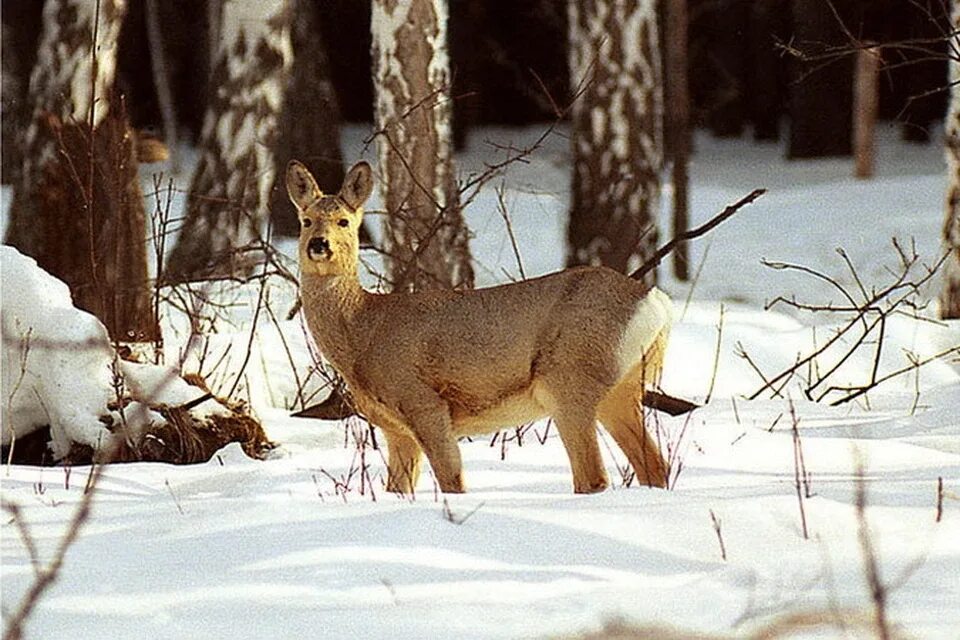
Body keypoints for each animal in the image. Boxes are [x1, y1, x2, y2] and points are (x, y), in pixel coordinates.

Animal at [288, 160, 672, 496]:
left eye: (343, 221)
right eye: (306, 220)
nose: (319, 244)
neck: (364, 330)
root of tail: (655, 302)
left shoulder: (423, 401)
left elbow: (452, 482)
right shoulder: (394, 429)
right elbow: (398, 490)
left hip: (568, 379)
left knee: (593, 477)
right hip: (621, 389)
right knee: (654, 466)